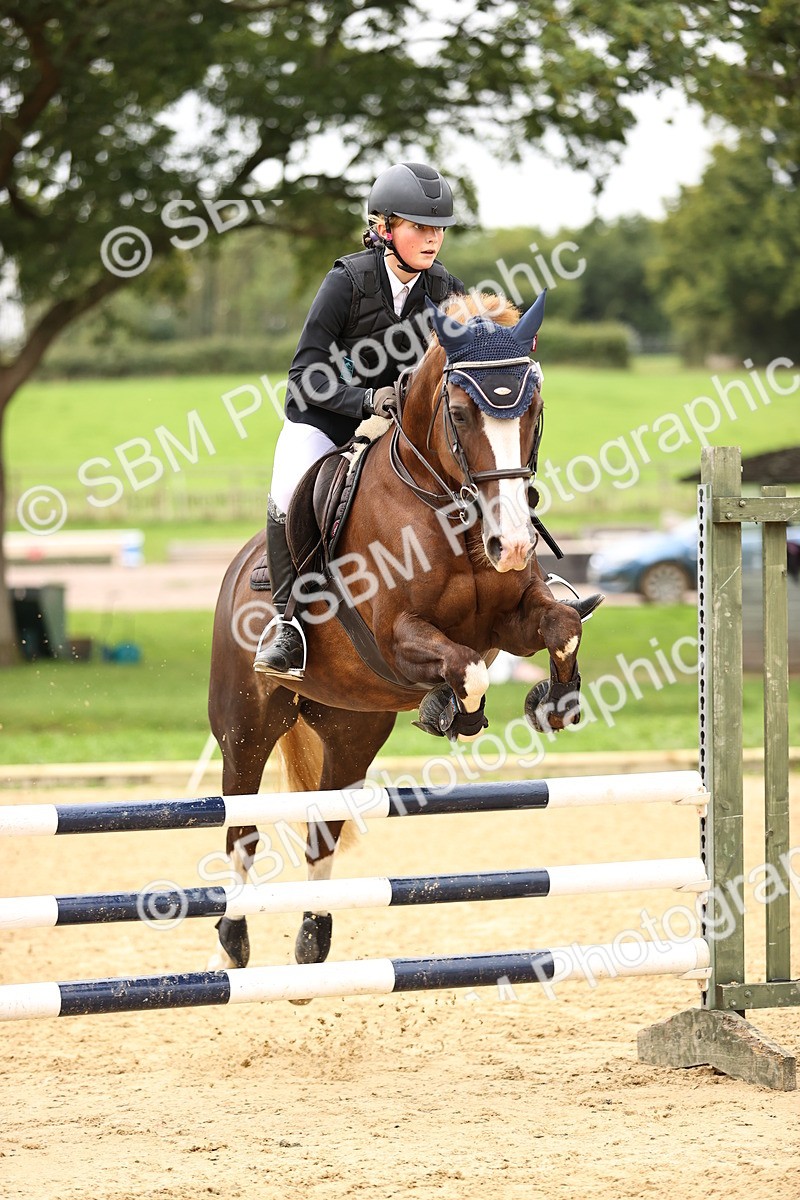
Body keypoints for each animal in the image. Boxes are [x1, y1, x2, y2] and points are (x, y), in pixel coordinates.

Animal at [207, 290, 586, 972]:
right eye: (459, 413)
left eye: (534, 411)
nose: (514, 543)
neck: (449, 509)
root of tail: (235, 568)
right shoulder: (393, 636)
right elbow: (466, 666)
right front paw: (454, 712)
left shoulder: (510, 619)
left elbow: (560, 624)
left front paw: (554, 700)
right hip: (246, 725)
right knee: (242, 829)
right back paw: (234, 938)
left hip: (352, 730)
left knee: (322, 830)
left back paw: (313, 937)